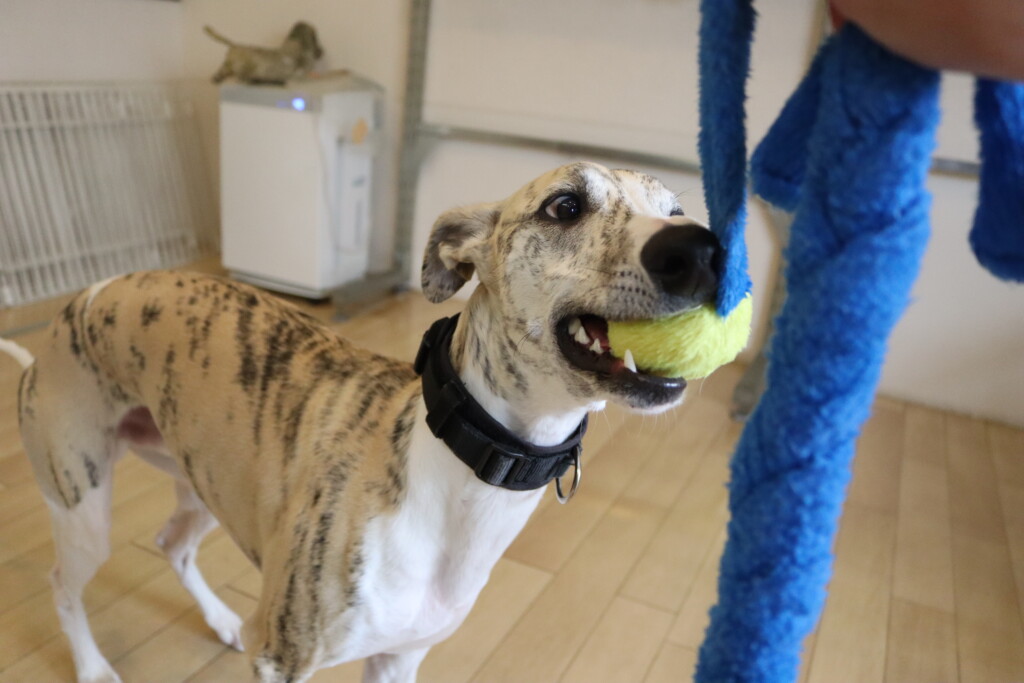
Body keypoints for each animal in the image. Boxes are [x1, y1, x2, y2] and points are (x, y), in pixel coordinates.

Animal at [0, 161, 721, 683]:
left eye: (675, 210)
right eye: (565, 206)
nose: (704, 251)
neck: (460, 469)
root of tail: (71, 313)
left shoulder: (399, 657)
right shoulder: (283, 661)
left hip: (204, 477)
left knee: (170, 542)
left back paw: (222, 619)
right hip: (82, 500)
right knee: (63, 584)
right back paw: (93, 666)